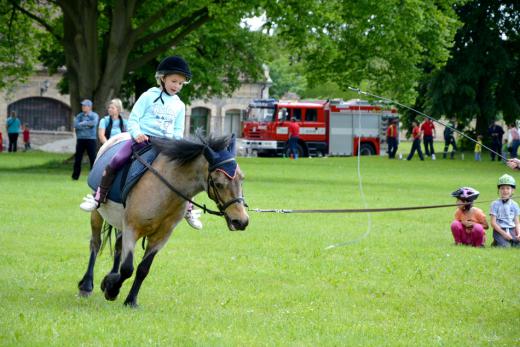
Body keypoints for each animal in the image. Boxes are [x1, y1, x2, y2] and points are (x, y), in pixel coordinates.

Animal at [76, 133, 249, 308]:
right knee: (95, 243)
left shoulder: (161, 236)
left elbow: (143, 269)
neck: (165, 190)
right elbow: (127, 268)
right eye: (219, 184)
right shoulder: (132, 228)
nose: (241, 221)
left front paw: (128, 298)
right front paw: (112, 289)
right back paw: (86, 285)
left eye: (242, 179)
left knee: (118, 246)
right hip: (98, 213)